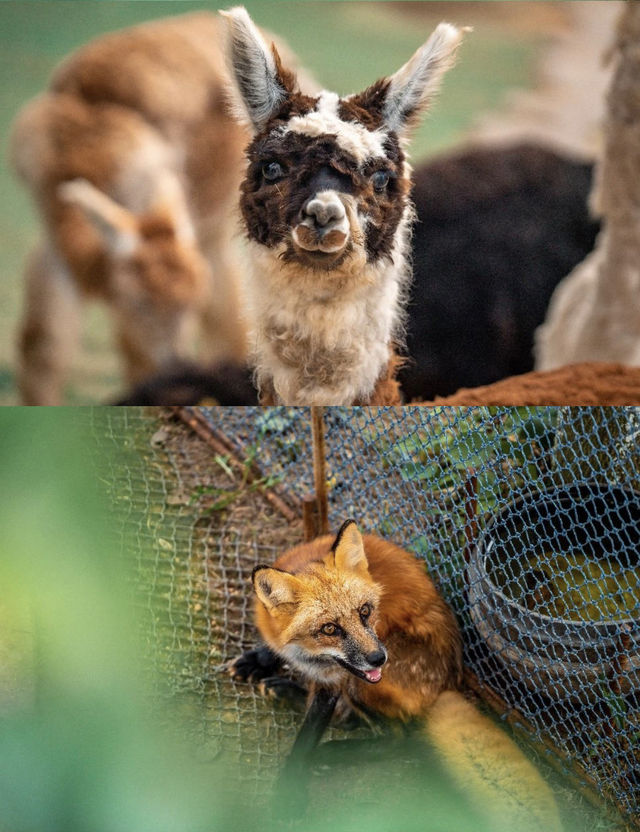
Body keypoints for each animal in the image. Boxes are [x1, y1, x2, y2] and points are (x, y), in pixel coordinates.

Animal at [230, 516, 560, 828]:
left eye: (365, 611)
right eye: (329, 629)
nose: (378, 659)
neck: (308, 655)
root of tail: (447, 684)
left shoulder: (334, 682)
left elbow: (306, 740)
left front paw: (289, 792)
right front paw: (258, 660)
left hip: (360, 686)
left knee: (397, 738)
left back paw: (331, 750)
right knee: (350, 719)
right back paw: (285, 692)